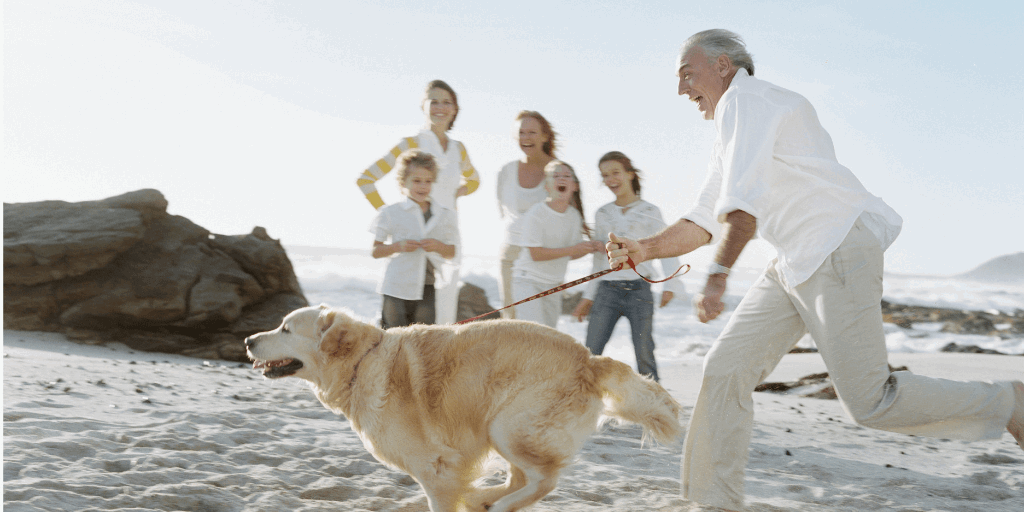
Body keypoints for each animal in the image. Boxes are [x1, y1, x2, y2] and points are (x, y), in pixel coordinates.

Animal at [243, 305, 684, 509]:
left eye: (285, 328)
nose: (247, 340)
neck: (362, 362)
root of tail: (590, 358)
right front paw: (472, 496)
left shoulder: (436, 467)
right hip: (500, 428)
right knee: (522, 478)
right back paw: (483, 499)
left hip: (507, 426)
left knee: (544, 480)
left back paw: (498, 504)